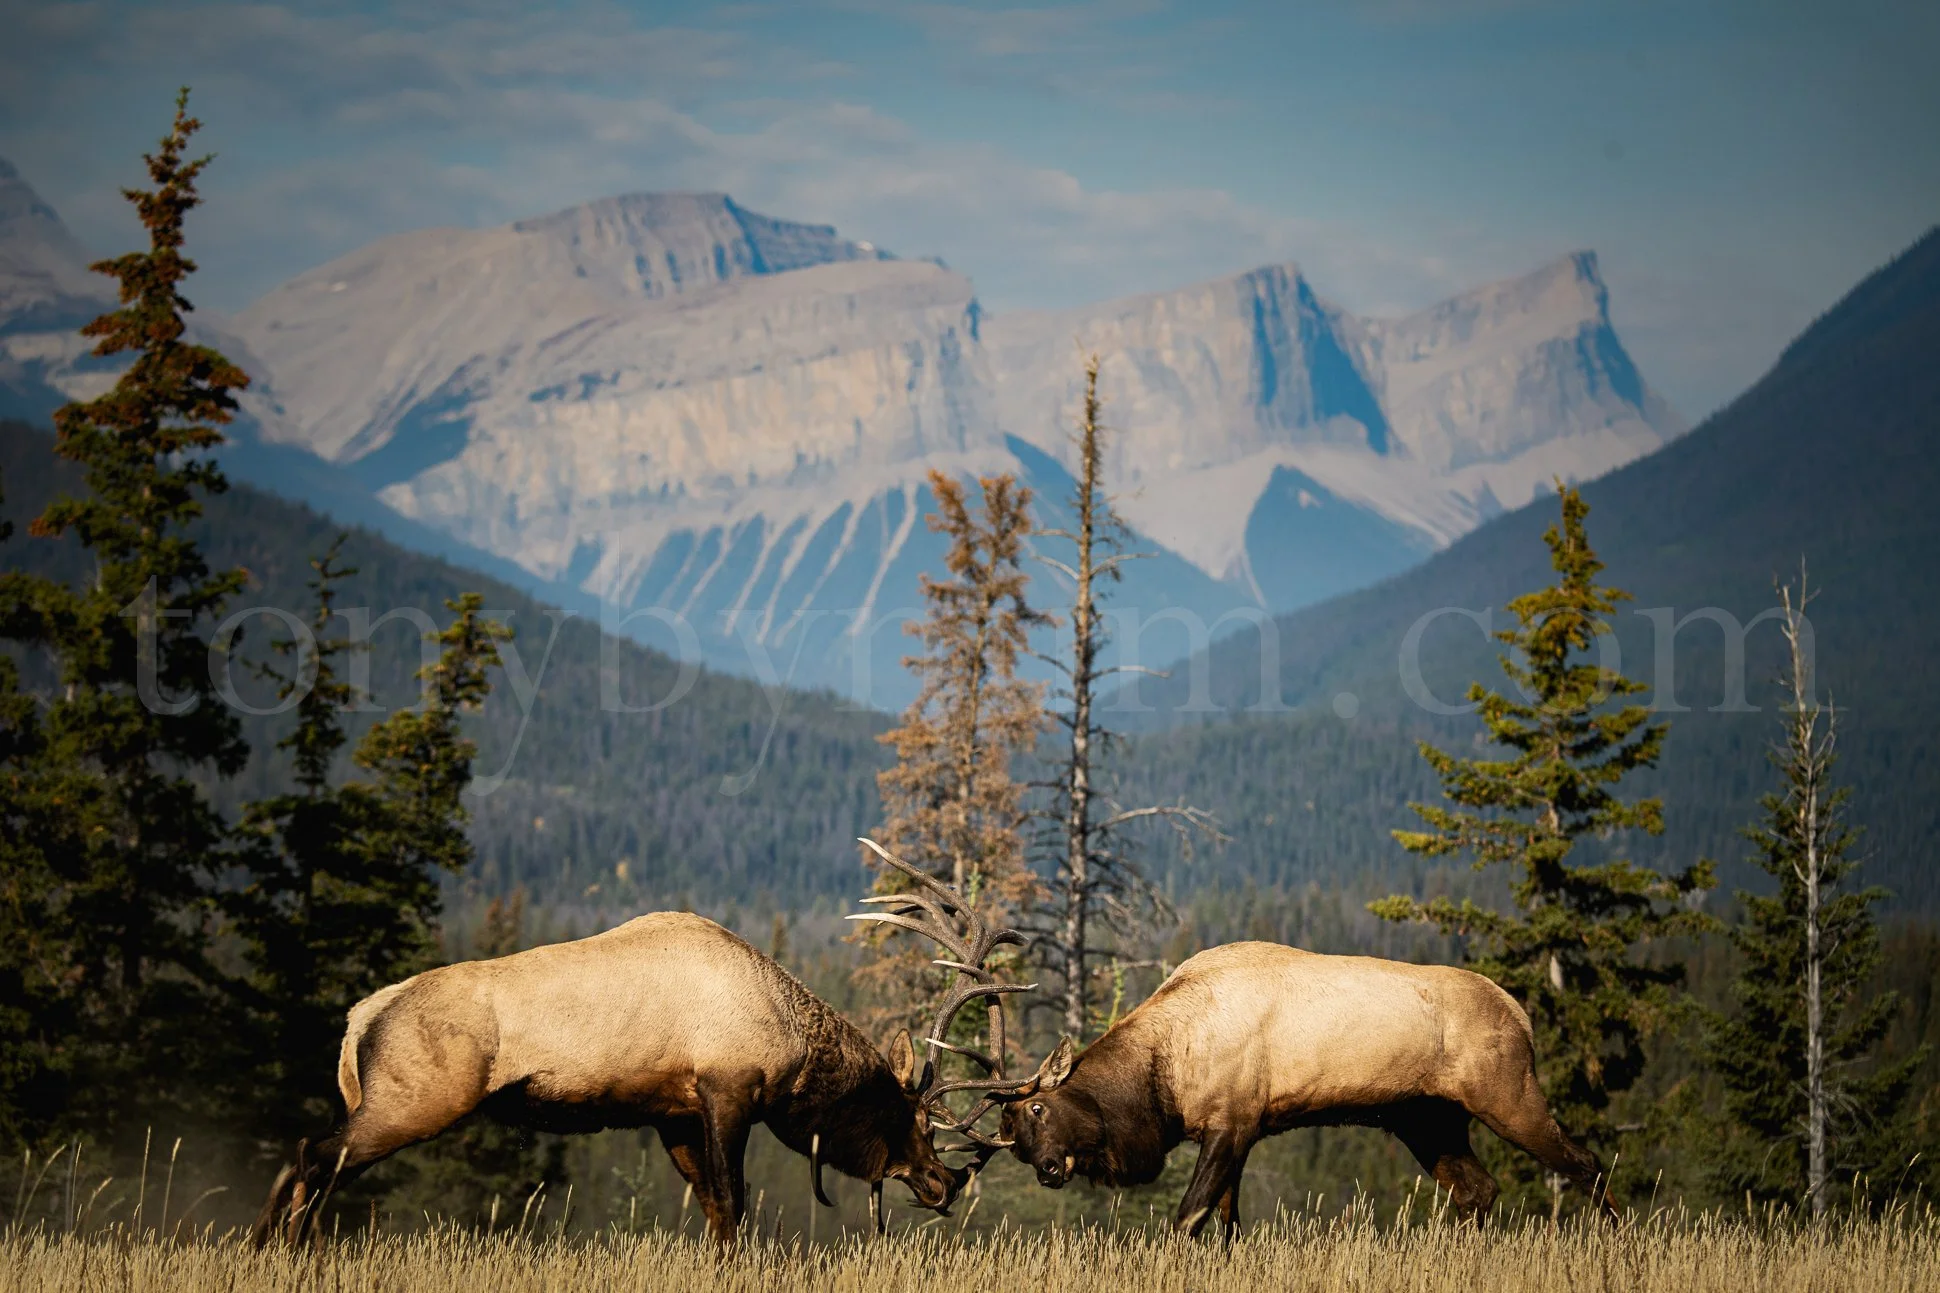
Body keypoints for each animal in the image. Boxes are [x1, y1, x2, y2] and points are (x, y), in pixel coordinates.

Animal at [251, 861, 1029, 1247]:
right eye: (915, 1119)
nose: (945, 1182)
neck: (795, 1055)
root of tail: (361, 1017)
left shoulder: (672, 1113)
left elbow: (714, 1209)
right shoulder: (727, 1092)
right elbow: (734, 1203)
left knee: (309, 1155)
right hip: (416, 1097)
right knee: (315, 1154)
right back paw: (281, 1249)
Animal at [988, 941, 1621, 1238]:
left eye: (1038, 1107)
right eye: (1012, 1140)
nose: (1048, 1170)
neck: (1163, 1079)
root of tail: (1522, 1015)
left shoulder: (1232, 1122)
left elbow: (1188, 1218)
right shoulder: (1236, 1133)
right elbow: (1227, 1222)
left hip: (1506, 1092)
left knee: (1586, 1162)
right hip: (1427, 1121)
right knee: (1479, 1189)